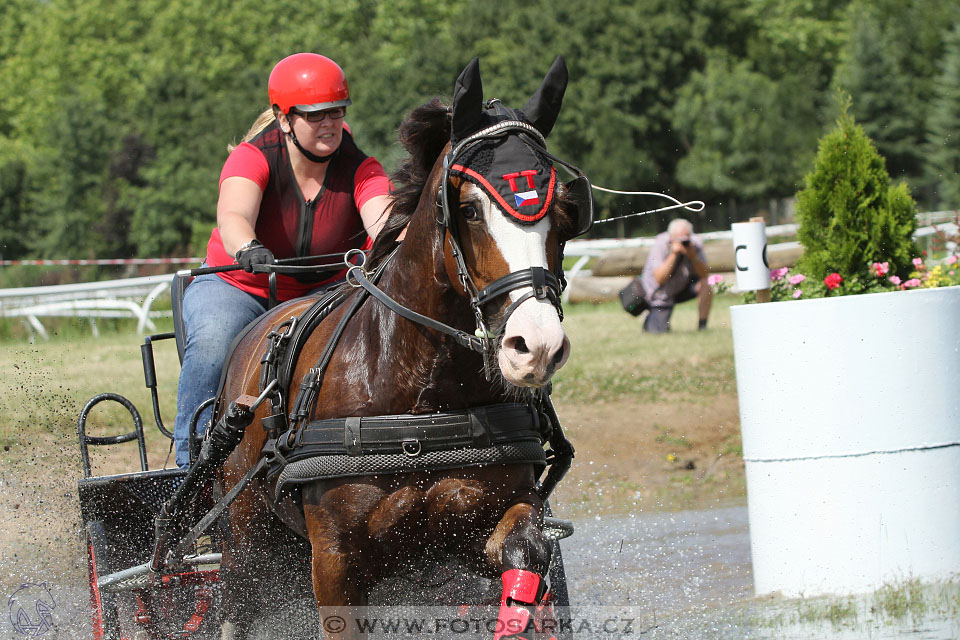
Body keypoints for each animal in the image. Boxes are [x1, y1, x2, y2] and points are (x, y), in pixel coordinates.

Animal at [212, 57, 584, 636]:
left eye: (566, 216)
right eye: (469, 209)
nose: (536, 345)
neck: (419, 394)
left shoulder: (493, 520)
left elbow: (524, 564)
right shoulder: (335, 561)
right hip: (249, 542)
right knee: (235, 601)